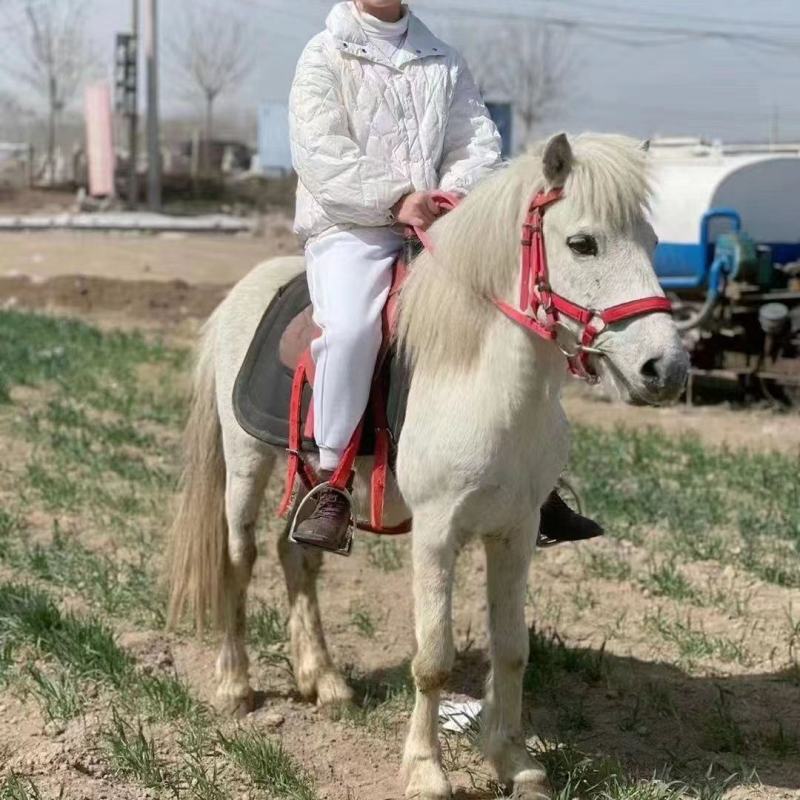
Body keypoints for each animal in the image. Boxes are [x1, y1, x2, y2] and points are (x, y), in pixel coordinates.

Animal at [166, 132, 688, 800]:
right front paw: (424, 770)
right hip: (246, 465)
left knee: (298, 555)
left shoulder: (515, 530)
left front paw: (514, 761)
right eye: (582, 243)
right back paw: (235, 685)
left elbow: (512, 647)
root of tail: (250, 286)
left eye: (651, 241)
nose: (665, 369)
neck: (483, 383)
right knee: (241, 557)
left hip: (311, 479)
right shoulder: (438, 535)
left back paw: (324, 681)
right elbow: (433, 658)